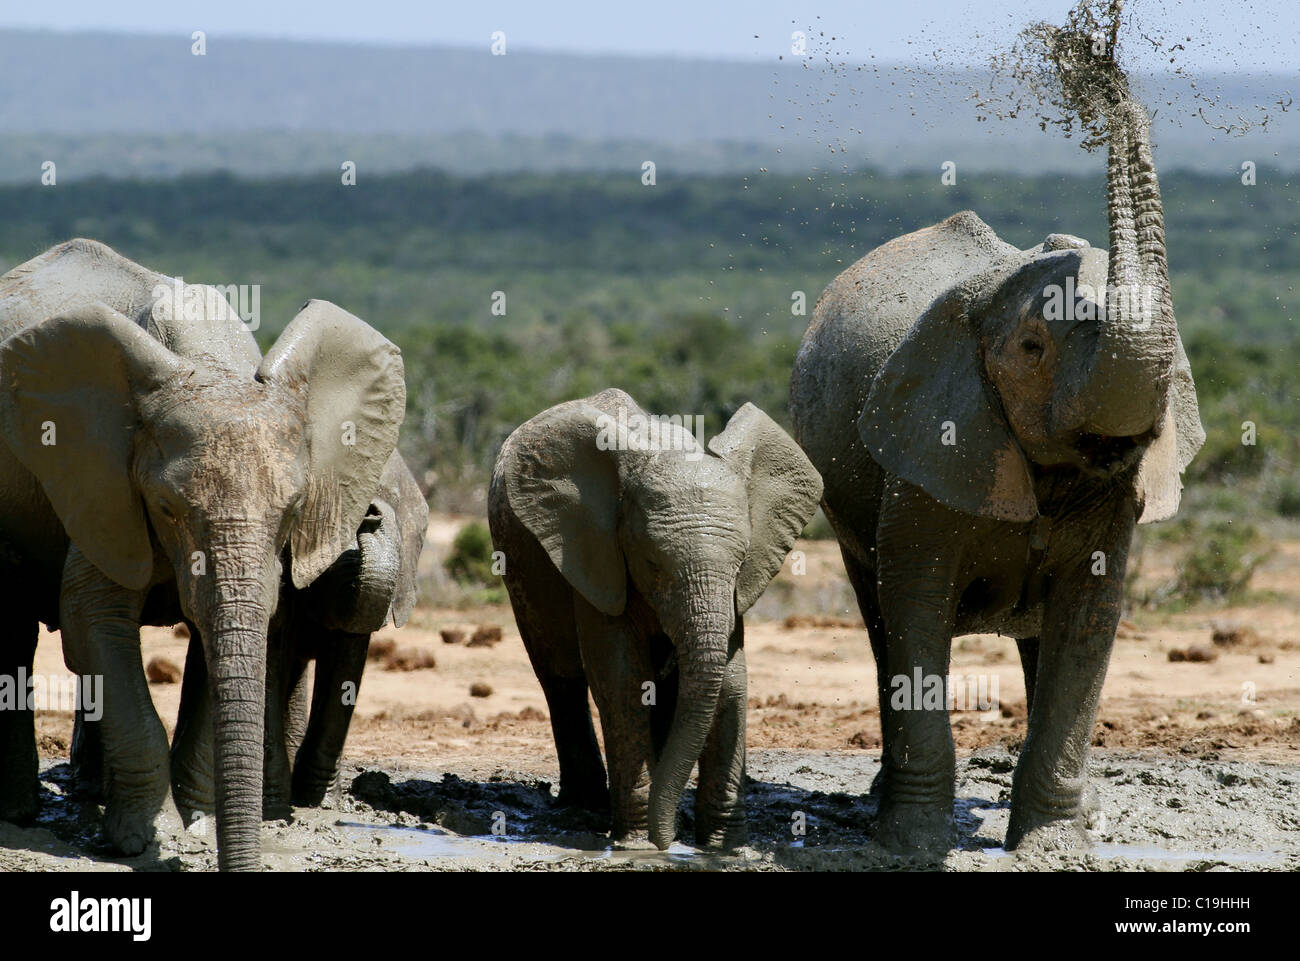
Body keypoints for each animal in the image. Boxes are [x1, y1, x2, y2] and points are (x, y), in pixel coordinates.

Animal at [0, 240, 403, 873]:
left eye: (293, 509)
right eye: (166, 507)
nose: (373, 519)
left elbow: (242, 633)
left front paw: (197, 824)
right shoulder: (106, 484)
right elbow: (92, 615)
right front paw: (144, 838)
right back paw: (19, 813)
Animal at [488, 390, 821, 847]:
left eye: (740, 564)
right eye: (651, 563)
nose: (668, 842)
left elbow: (730, 681)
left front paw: (726, 848)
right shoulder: (595, 554)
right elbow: (620, 677)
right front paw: (639, 844)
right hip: (518, 562)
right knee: (561, 677)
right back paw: (586, 806)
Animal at [785, 97, 1201, 853]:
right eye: (1033, 347)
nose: (1113, 96)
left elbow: (1088, 618)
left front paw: (1053, 848)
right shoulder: (928, 450)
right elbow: (915, 606)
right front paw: (913, 844)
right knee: (879, 623)